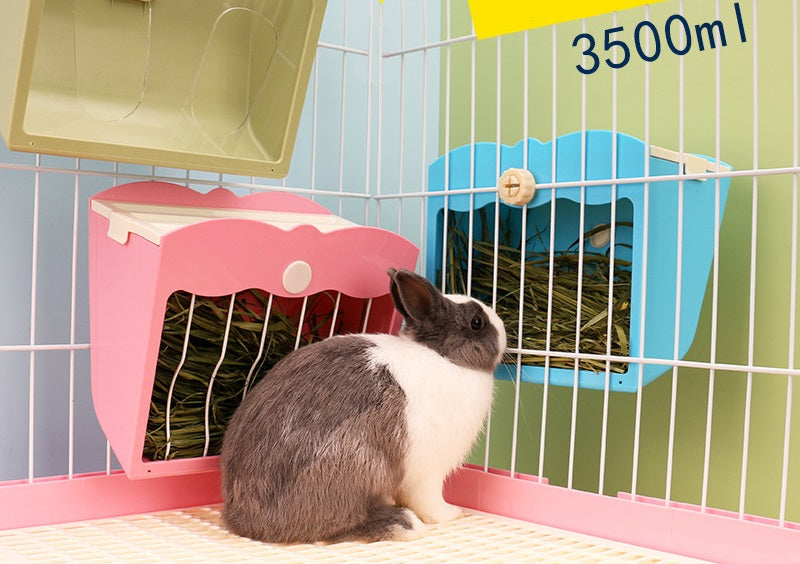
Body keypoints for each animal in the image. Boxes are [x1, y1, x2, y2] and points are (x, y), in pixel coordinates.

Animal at [220, 268, 507, 544]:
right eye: (477, 322)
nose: (503, 327)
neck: (445, 357)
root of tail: (246, 522)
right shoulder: (428, 472)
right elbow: (430, 502)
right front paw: (453, 514)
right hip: (359, 465)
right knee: (337, 523)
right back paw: (403, 525)